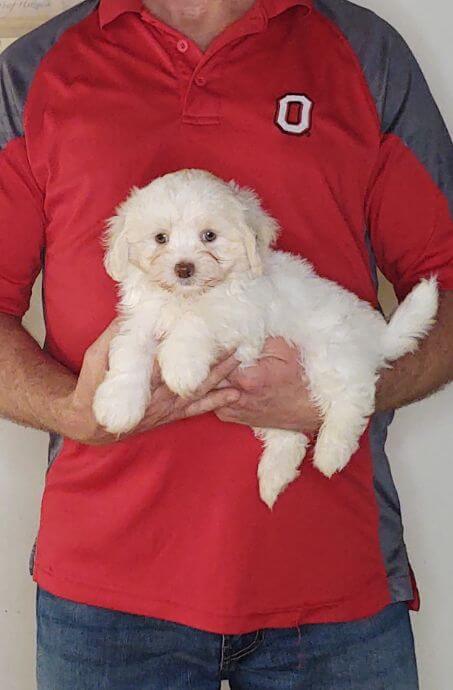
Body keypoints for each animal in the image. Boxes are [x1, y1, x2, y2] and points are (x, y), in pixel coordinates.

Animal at [92, 169, 438, 508]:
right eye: (160, 238)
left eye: (209, 236)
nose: (184, 268)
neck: (186, 297)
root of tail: (377, 334)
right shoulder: (141, 320)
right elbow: (129, 353)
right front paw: (118, 404)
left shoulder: (240, 317)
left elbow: (198, 321)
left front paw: (181, 366)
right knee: (289, 435)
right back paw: (275, 475)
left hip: (328, 355)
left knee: (353, 396)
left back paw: (331, 452)